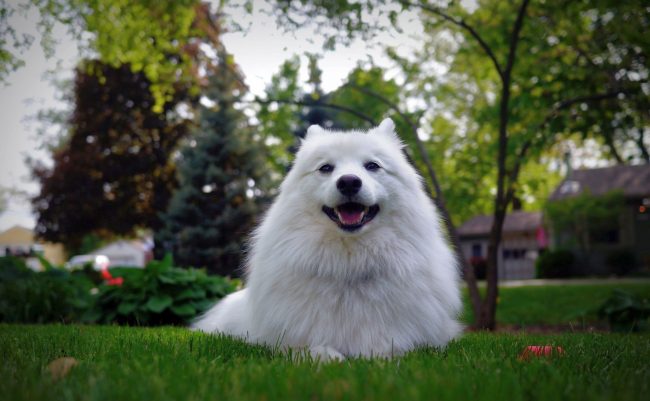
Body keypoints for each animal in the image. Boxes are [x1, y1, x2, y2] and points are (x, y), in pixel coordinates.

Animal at [192, 117, 460, 358]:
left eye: (372, 166)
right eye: (326, 168)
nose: (349, 182)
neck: (349, 263)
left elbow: (389, 349)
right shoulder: (289, 339)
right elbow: (315, 350)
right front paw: (330, 357)